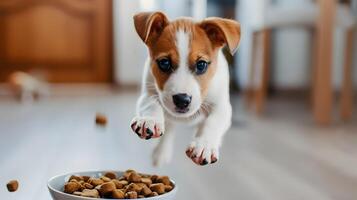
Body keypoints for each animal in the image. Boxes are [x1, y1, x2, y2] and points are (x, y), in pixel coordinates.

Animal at [129, 11, 241, 166]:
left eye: (201, 65)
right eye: (164, 63)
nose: (182, 100)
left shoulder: (222, 106)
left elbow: (212, 122)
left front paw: (204, 145)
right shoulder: (148, 92)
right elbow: (151, 104)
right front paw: (149, 120)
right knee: (169, 126)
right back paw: (161, 151)